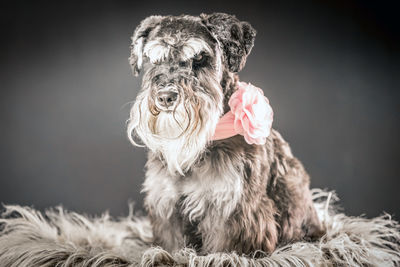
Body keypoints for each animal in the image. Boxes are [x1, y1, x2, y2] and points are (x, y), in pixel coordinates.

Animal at [126, 13, 324, 258]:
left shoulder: (233, 209)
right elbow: (172, 246)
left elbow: (223, 248)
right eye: (153, 59)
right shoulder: (167, 204)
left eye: (199, 58)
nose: (165, 97)